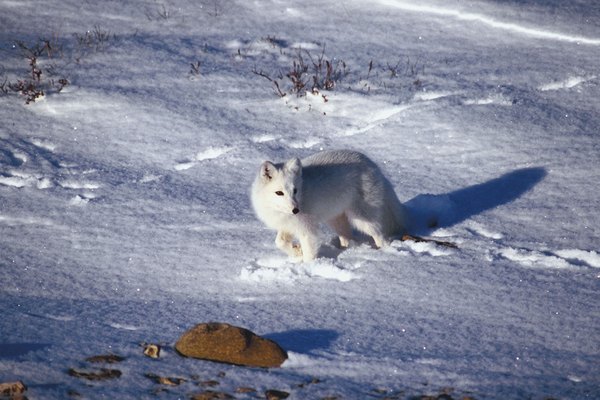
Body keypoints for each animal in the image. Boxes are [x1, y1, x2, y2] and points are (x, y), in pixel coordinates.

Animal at [248, 148, 408, 260]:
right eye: (279, 193)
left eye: (295, 190)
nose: (296, 210)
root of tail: (373, 165)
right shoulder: (288, 225)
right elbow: (279, 242)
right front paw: (297, 251)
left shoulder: (307, 229)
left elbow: (309, 253)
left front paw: (309, 267)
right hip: (336, 219)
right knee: (347, 238)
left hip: (361, 218)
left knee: (379, 235)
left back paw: (383, 253)